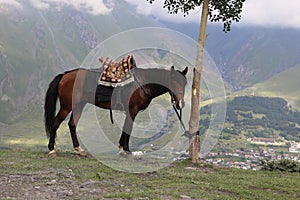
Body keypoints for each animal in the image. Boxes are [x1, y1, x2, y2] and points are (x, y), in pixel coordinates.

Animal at [43, 63, 189, 155]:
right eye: (174, 81)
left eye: (185, 83)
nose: (180, 104)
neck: (142, 83)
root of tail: (64, 75)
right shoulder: (132, 110)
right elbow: (128, 127)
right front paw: (126, 149)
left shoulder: (130, 111)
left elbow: (125, 127)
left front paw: (121, 147)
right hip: (66, 107)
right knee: (55, 123)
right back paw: (51, 149)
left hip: (78, 106)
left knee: (72, 124)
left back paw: (79, 149)